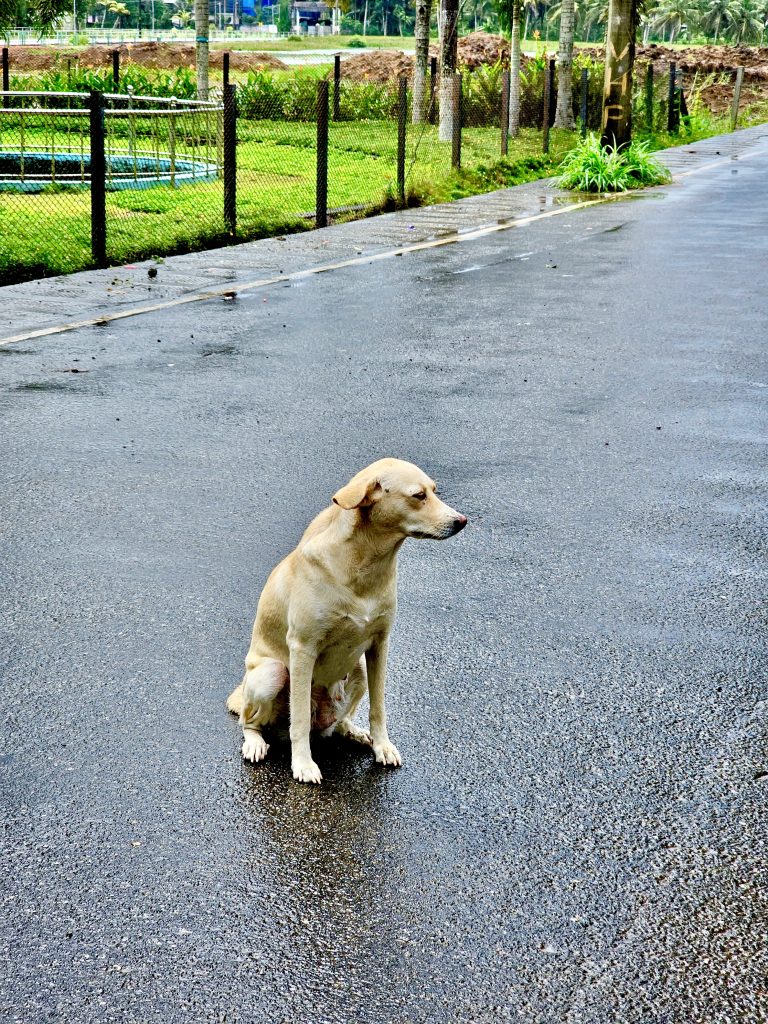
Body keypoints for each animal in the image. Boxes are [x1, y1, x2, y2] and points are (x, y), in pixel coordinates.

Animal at [227, 456, 468, 782]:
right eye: (419, 496)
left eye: (434, 491)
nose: (462, 521)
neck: (365, 562)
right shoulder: (303, 648)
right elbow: (298, 718)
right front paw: (303, 763)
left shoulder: (380, 644)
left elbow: (379, 707)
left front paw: (382, 745)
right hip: (271, 674)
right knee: (251, 721)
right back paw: (255, 742)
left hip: (359, 669)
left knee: (340, 723)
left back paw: (355, 732)